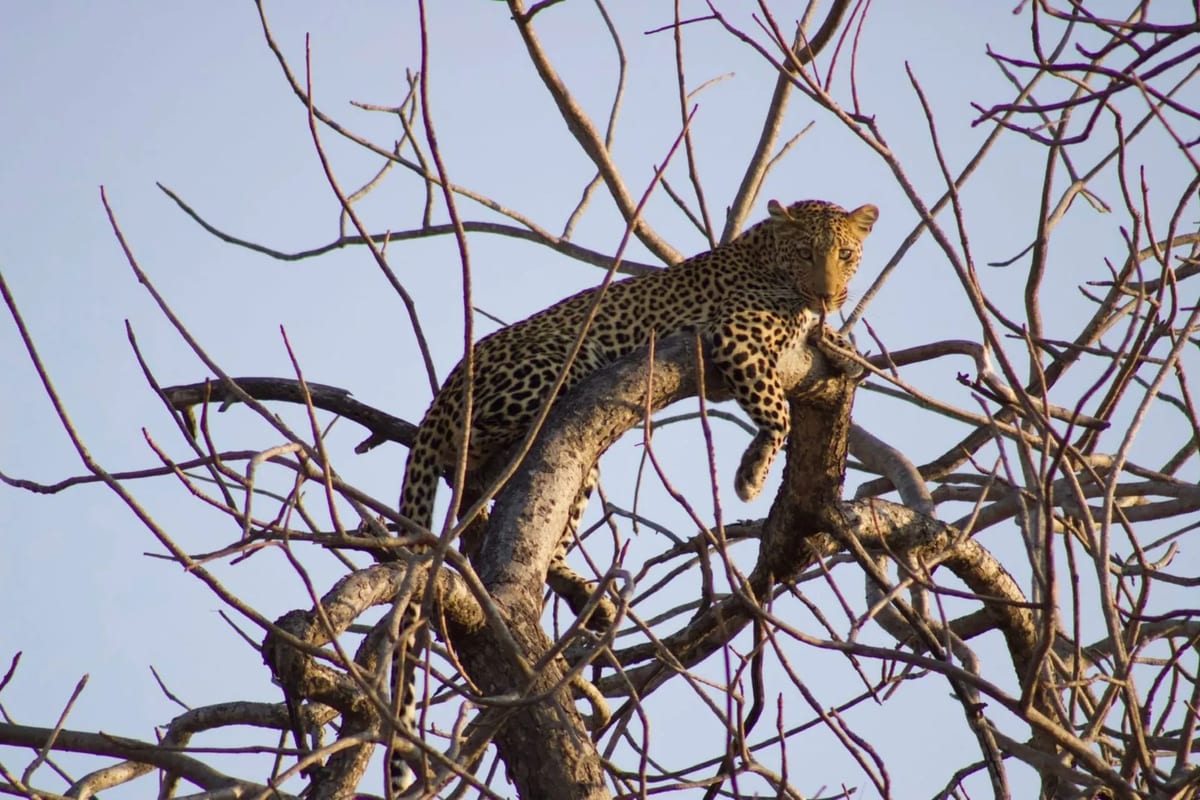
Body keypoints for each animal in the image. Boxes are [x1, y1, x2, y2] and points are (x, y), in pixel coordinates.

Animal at [387, 198, 877, 795]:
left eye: (846, 255)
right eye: (808, 254)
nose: (829, 296)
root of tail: (440, 397)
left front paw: (845, 350)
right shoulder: (735, 334)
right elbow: (776, 410)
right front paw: (752, 474)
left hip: (583, 468)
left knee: (548, 534)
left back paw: (590, 600)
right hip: (561, 364)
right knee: (485, 452)